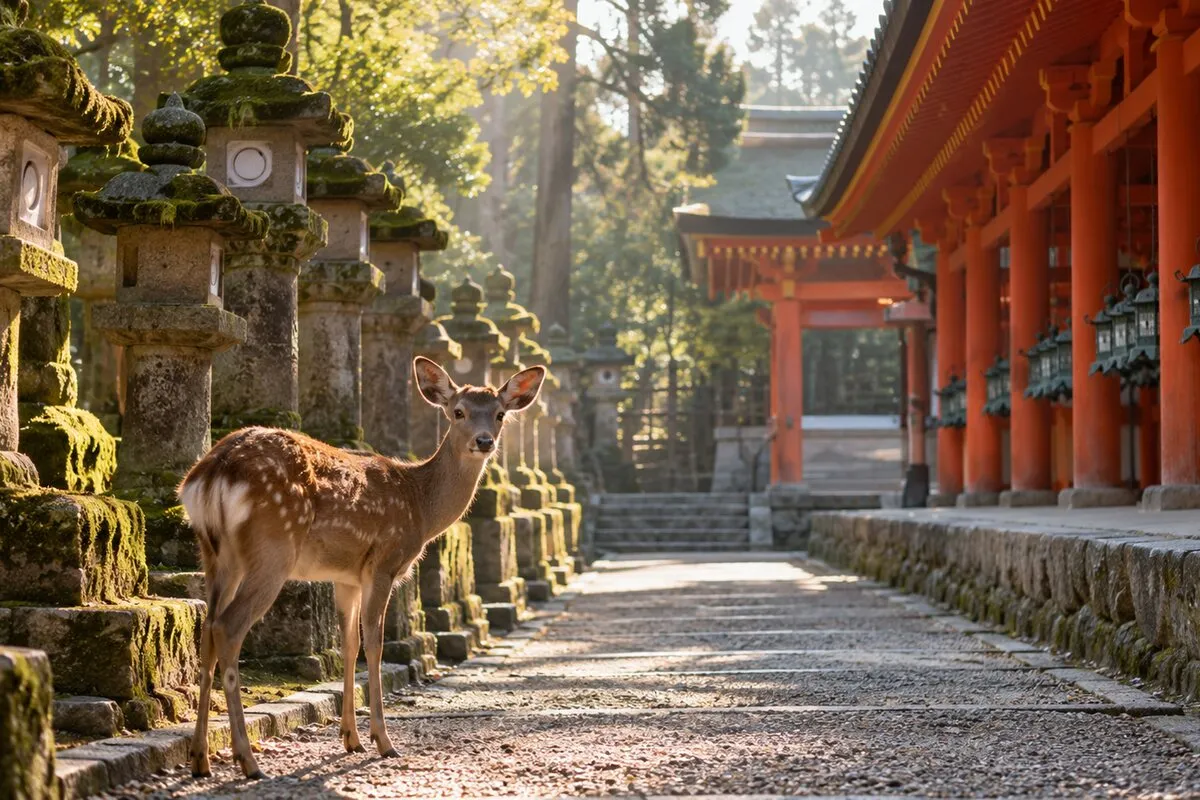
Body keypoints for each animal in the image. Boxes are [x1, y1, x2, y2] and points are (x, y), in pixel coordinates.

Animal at [177, 356, 545, 780]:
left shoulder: (346, 576)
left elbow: (349, 645)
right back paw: (248, 761)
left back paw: (201, 759)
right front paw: (383, 741)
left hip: (215, 554)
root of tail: (212, 474)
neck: (420, 505)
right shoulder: (384, 562)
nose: (484, 441)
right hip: (272, 548)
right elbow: (375, 643)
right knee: (227, 627)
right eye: (459, 412)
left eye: (500, 414)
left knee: (206, 629)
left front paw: (350, 738)